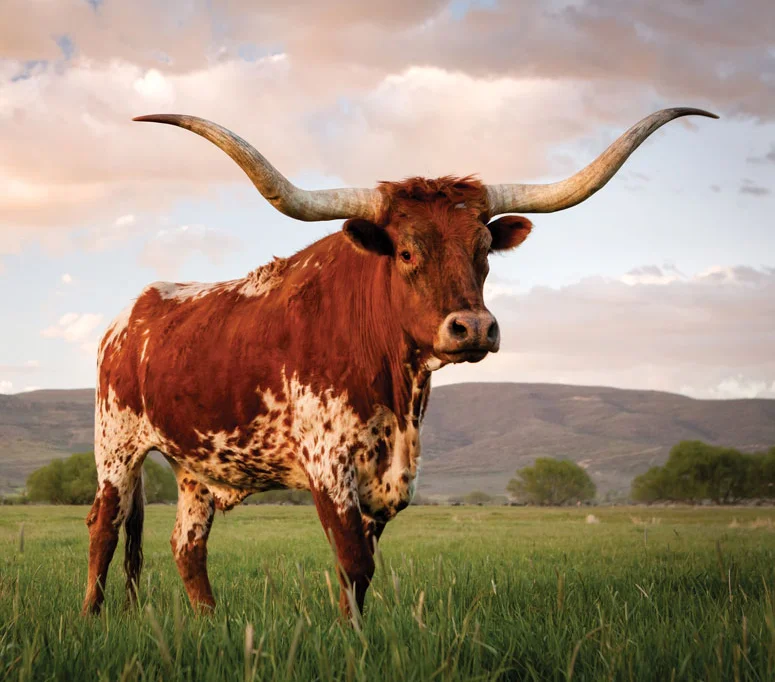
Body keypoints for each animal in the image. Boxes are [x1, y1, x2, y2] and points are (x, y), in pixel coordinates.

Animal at [82, 107, 716, 619]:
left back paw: (209, 621)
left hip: (195, 467)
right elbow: (353, 564)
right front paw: (353, 643)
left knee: (187, 547)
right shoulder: (328, 465)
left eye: (484, 251)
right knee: (103, 529)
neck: (396, 389)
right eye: (407, 252)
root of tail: (127, 317)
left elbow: (360, 574)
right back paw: (91, 618)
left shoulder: (389, 480)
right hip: (117, 448)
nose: (474, 327)